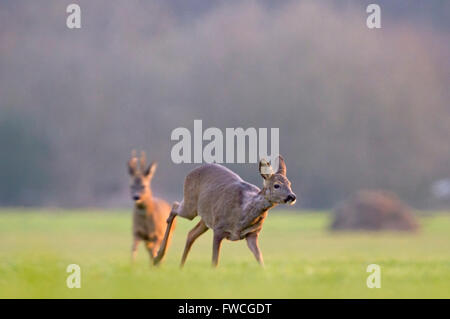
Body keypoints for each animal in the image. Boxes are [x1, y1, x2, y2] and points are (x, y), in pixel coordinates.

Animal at [153, 155, 298, 268]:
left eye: (290, 184)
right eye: (276, 185)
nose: (292, 196)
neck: (242, 214)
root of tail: (190, 172)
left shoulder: (252, 234)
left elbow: (260, 258)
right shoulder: (219, 228)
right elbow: (214, 261)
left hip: (206, 218)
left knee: (191, 234)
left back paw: (180, 266)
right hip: (191, 206)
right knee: (174, 206)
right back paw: (158, 257)